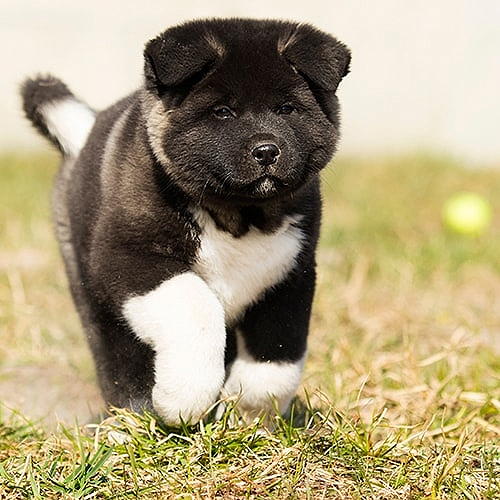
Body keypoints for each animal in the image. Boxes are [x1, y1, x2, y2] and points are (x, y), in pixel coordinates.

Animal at [21, 19, 350, 426]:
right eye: (223, 112)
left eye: (287, 108)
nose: (267, 151)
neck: (238, 215)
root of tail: (82, 136)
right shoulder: (133, 258)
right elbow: (196, 307)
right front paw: (183, 399)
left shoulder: (290, 274)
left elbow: (277, 355)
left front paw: (248, 412)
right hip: (90, 289)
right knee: (116, 357)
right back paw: (134, 418)